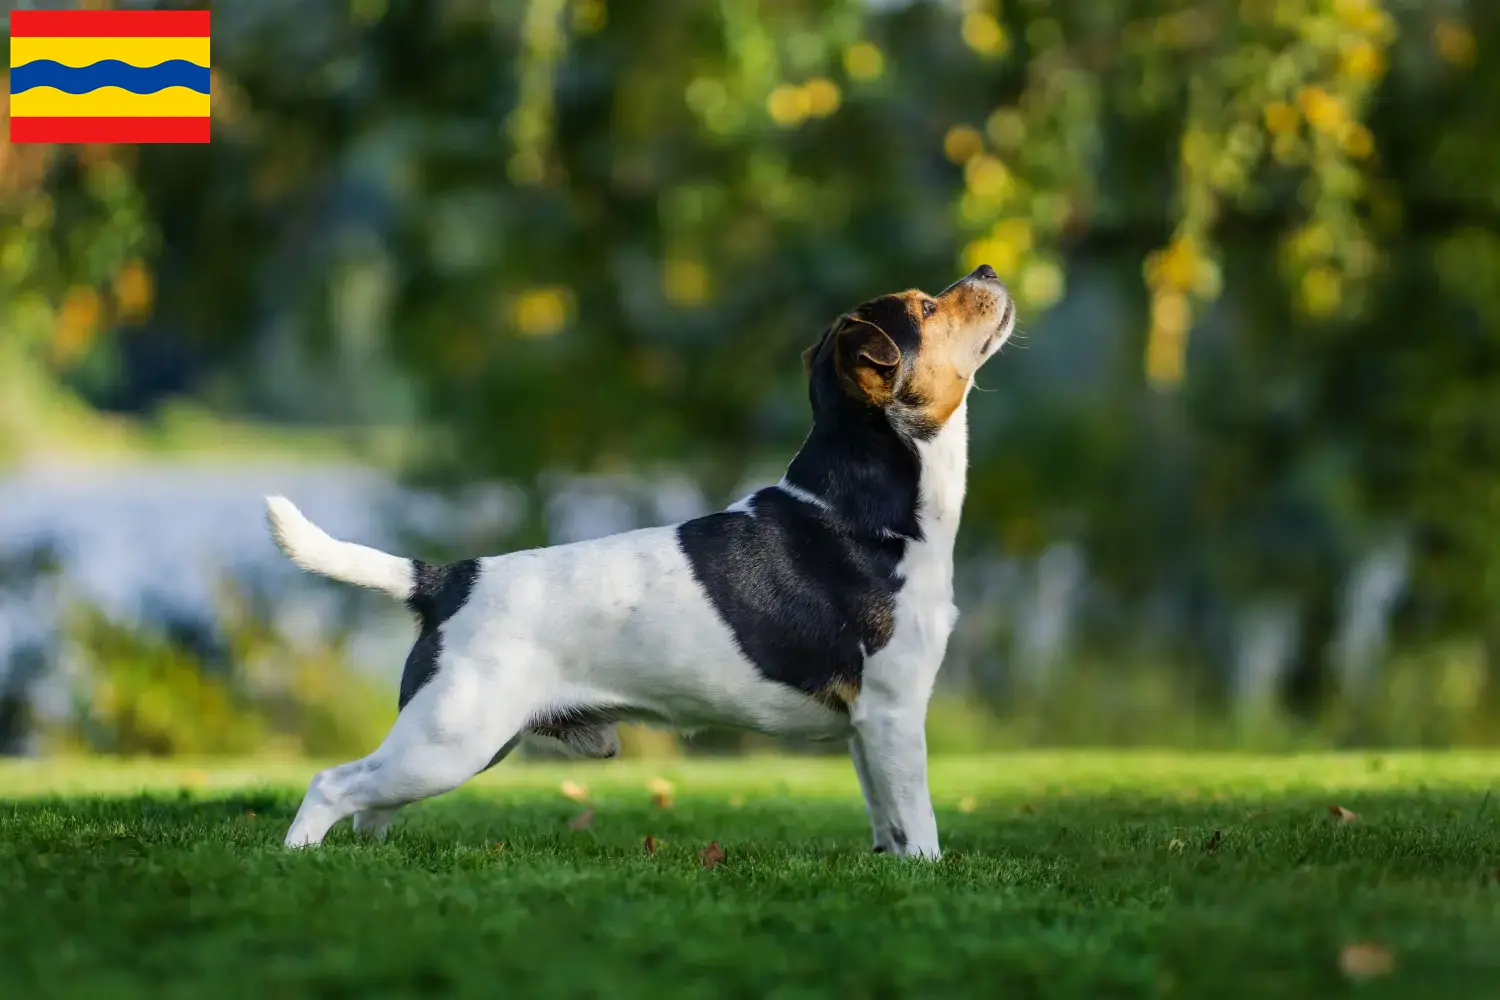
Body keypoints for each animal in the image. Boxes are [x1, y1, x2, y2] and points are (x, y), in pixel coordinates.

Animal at [270, 265, 1020, 863]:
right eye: (926, 308)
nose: (987, 268)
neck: (861, 509)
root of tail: (448, 580)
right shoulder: (895, 714)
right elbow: (918, 821)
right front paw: (930, 877)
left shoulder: (869, 729)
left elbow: (885, 817)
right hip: (449, 742)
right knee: (332, 784)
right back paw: (298, 857)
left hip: (449, 744)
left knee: (370, 806)